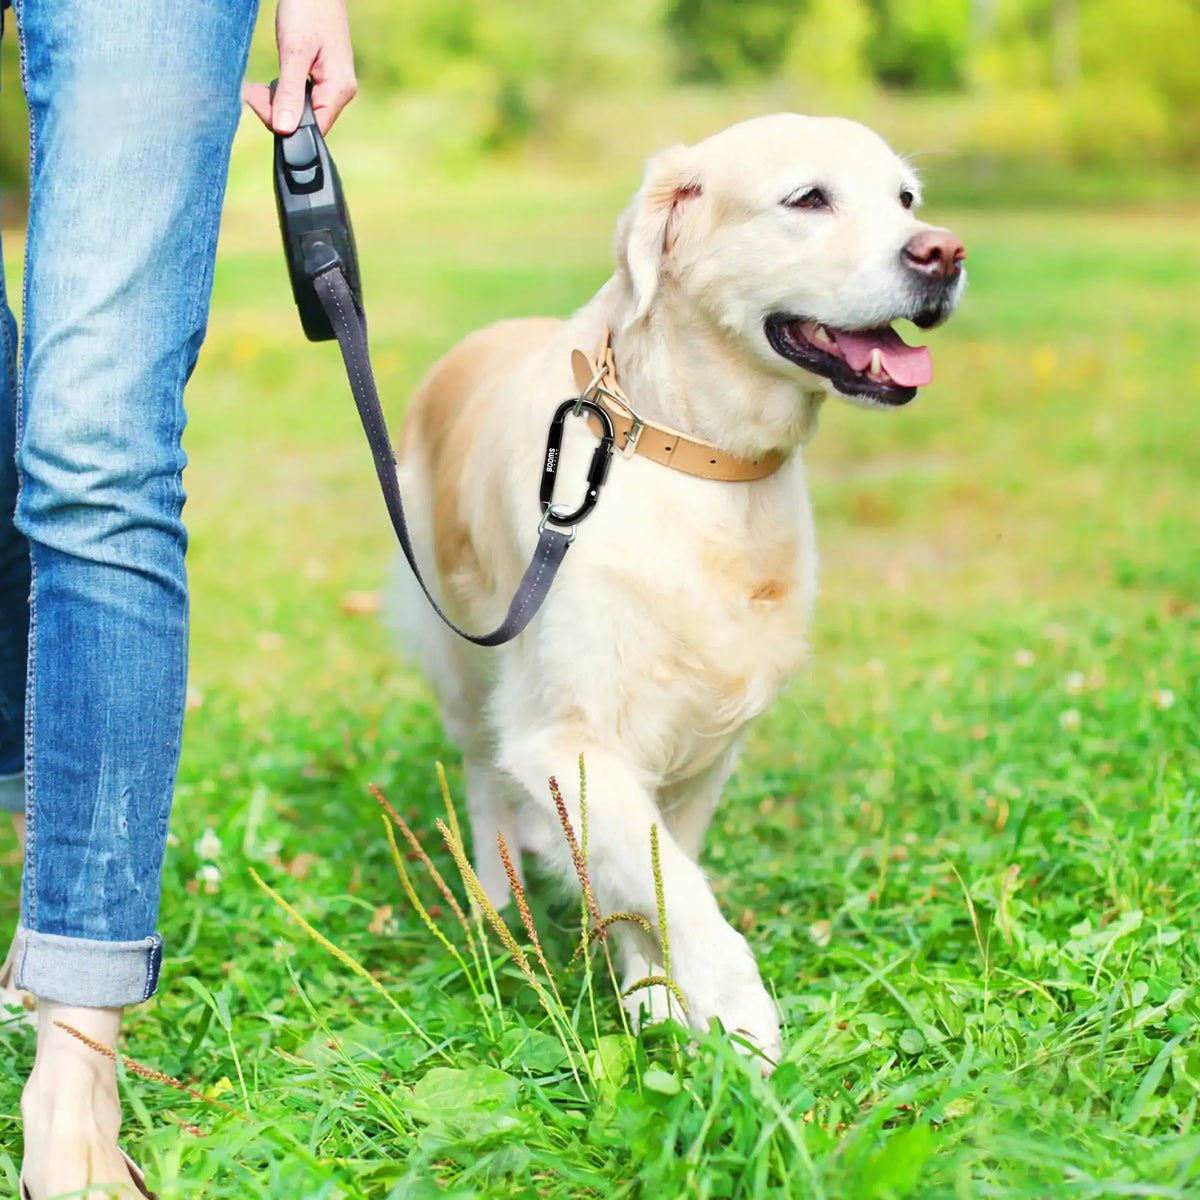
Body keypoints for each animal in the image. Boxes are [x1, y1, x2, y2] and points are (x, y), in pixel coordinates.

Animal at [393, 114, 964, 1070]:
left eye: (906, 199)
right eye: (809, 198)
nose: (945, 252)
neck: (698, 454)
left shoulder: (706, 737)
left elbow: (657, 869)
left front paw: (654, 990)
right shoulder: (567, 731)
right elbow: (675, 886)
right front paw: (739, 1021)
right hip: (463, 659)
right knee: (481, 777)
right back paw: (496, 899)